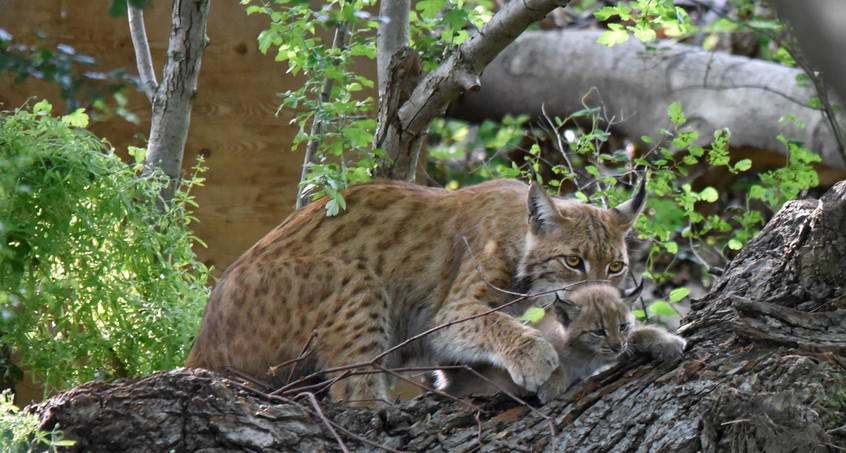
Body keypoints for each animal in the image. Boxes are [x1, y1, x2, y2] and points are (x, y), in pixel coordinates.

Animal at [187, 178, 644, 408]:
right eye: (573, 262)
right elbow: (495, 321)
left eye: (616, 267)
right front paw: (536, 358)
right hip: (353, 275)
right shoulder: (447, 313)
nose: (600, 291)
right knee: (351, 392)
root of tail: (197, 351)